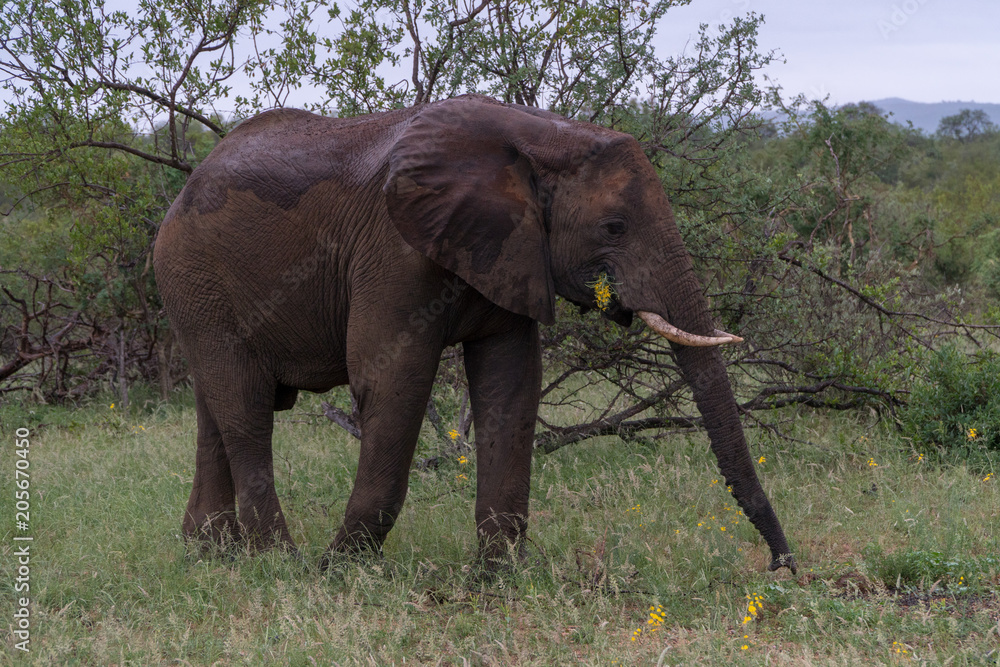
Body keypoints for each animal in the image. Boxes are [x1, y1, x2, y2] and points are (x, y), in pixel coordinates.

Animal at [153, 94, 796, 574]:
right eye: (614, 227)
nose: (783, 568)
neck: (541, 135)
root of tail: (180, 195)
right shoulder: (394, 251)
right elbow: (392, 379)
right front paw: (340, 571)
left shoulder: (511, 249)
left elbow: (511, 382)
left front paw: (499, 578)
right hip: (195, 278)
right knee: (245, 409)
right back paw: (280, 563)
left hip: (197, 292)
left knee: (216, 410)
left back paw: (209, 554)